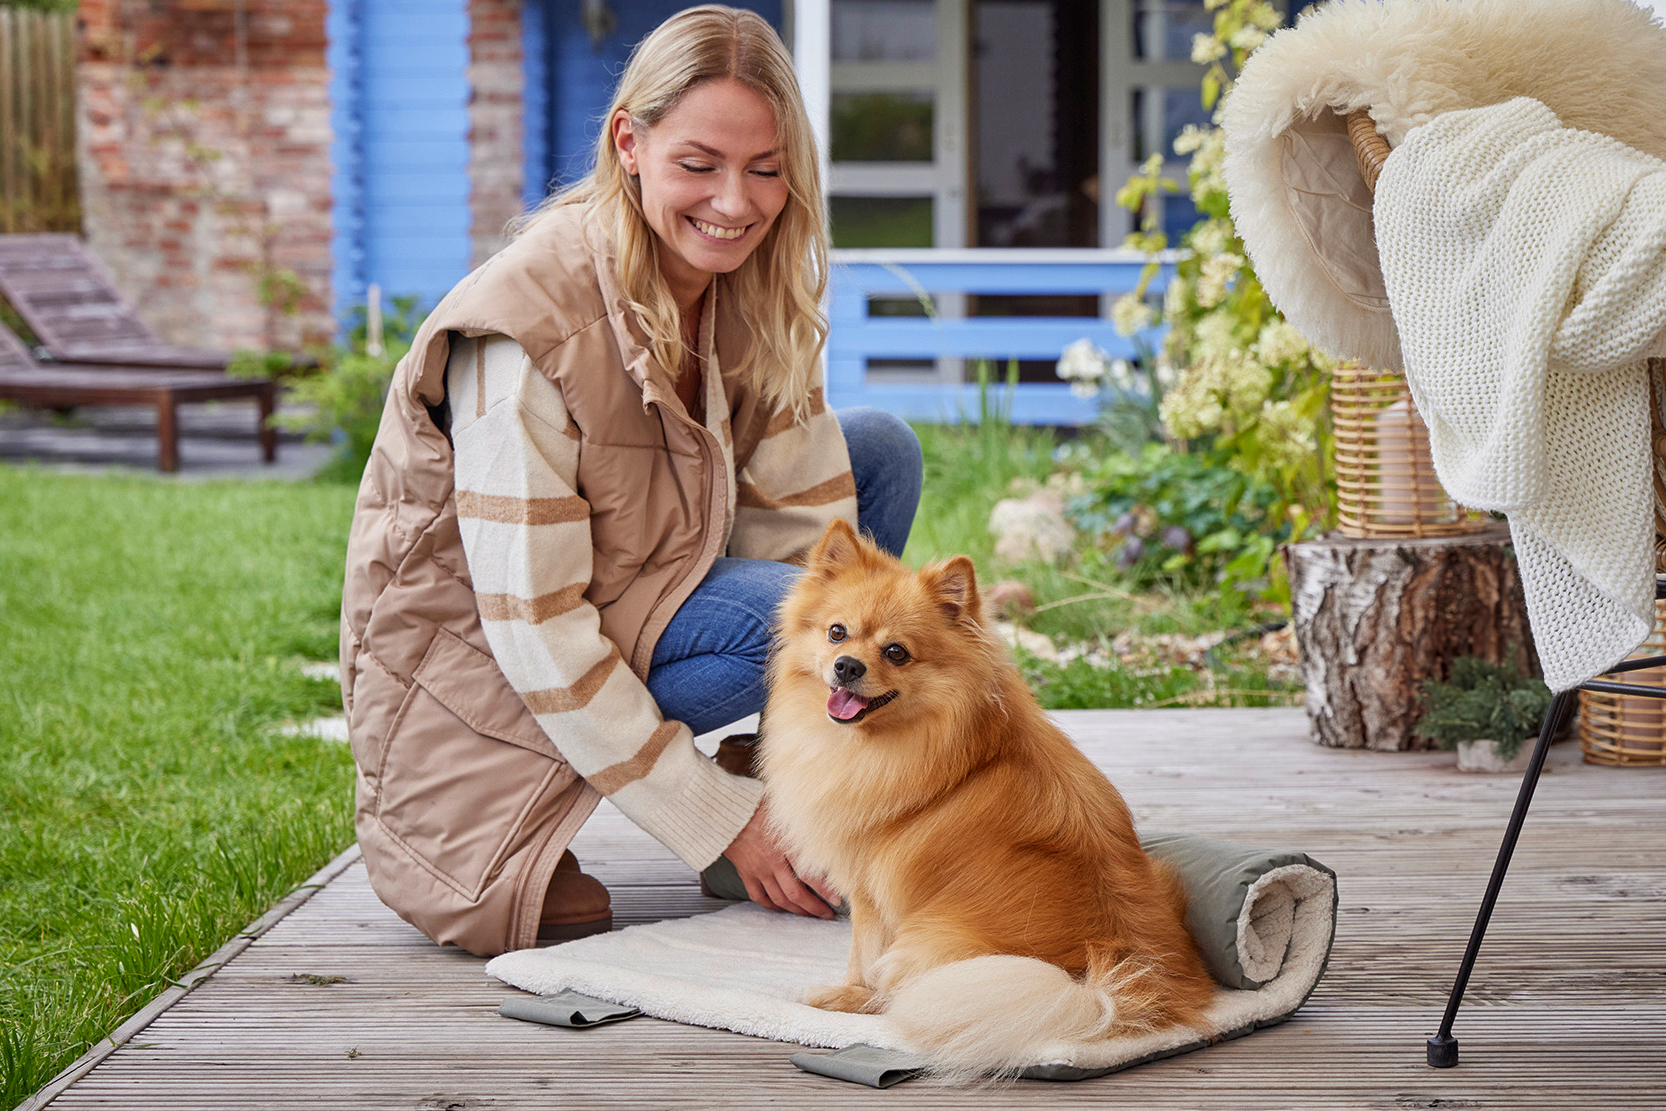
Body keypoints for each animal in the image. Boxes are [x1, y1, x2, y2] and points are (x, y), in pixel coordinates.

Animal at [759, 523, 1212, 1079]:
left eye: (896, 652)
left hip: (925, 947)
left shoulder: (868, 890)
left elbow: (861, 956)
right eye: (836, 633)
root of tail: (1118, 985)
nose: (846, 666)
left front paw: (847, 992)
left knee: (895, 994)